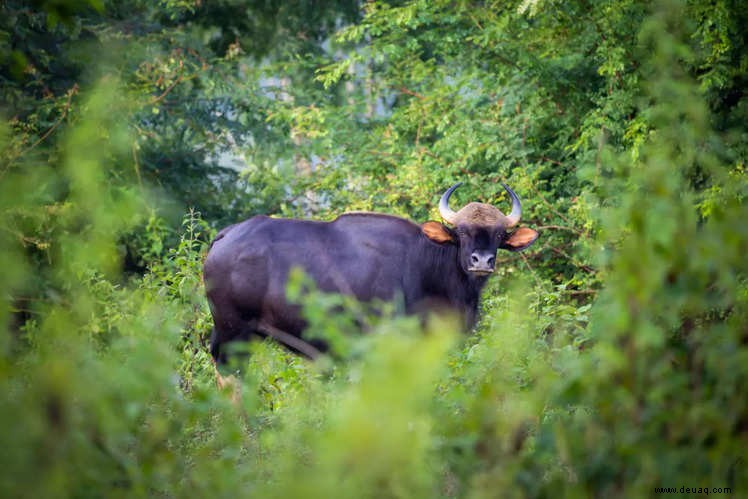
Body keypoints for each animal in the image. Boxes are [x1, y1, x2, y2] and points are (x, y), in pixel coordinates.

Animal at [205, 184, 536, 364]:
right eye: (463, 232)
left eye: (499, 234)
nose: (482, 261)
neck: (425, 267)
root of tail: (226, 235)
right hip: (234, 331)